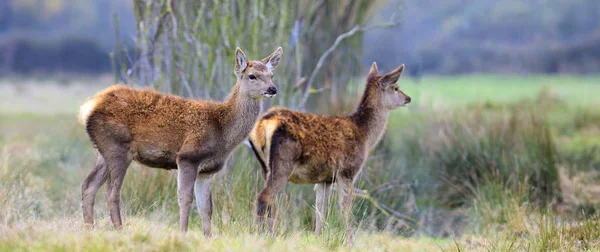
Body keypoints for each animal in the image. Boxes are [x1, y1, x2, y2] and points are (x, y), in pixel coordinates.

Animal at [79, 45, 284, 236]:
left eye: (271, 75)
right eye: (252, 76)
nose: (272, 89)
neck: (223, 132)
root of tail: (89, 106)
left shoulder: (208, 170)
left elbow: (206, 208)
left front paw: (208, 238)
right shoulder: (188, 156)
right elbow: (185, 200)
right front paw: (183, 233)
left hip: (103, 150)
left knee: (89, 185)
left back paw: (90, 229)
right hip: (117, 147)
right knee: (111, 191)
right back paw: (119, 229)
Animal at [247, 62, 408, 234]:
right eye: (396, 87)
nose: (408, 98)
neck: (364, 135)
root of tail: (262, 124)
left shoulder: (324, 179)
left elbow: (320, 214)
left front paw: (320, 236)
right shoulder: (347, 171)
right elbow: (345, 212)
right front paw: (347, 238)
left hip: (265, 167)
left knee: (271, 202)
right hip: (282, 163)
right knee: (264, 197)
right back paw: (265, 234)